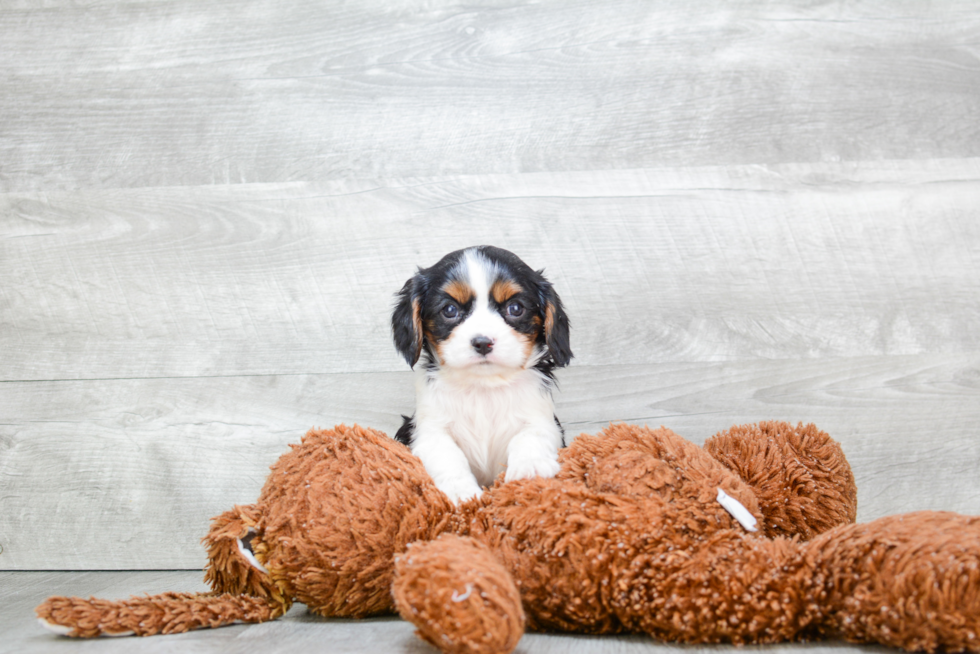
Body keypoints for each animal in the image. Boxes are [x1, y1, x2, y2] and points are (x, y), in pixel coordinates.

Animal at [392, 249, 576, 504]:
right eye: (449, 310)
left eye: (515, 308)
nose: (482, 342)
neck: (483, 386)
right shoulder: (428, 431)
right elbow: (448, 455)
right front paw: (461, 492)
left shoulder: (543, 421)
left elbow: (529, 437)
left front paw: (530, 469)